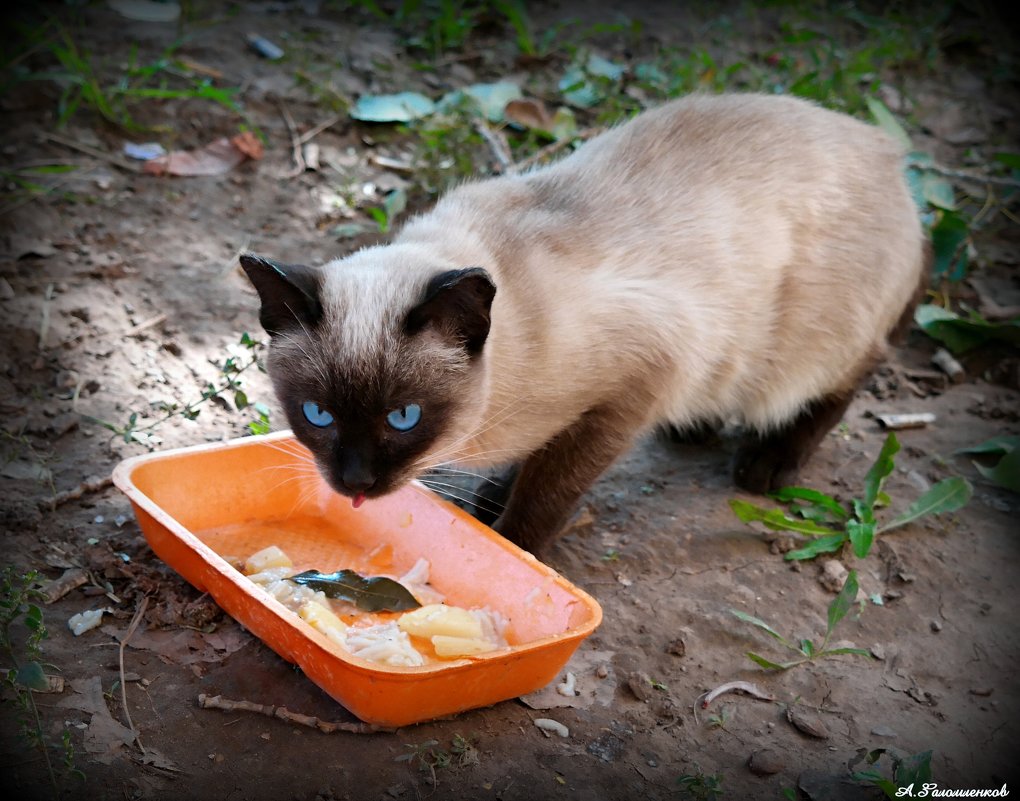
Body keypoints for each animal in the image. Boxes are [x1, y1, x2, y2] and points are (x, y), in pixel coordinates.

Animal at [242, 92, 930, 551]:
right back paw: (696, 427)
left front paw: (515, 545)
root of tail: (887, 150)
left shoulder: (628, 389)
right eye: (317, 415)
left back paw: (769, 464)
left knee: (855, 370)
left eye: (403, 418)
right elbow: (534, 462)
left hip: (804, 348)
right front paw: (494, 496)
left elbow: (549, 490)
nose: (354, 483)